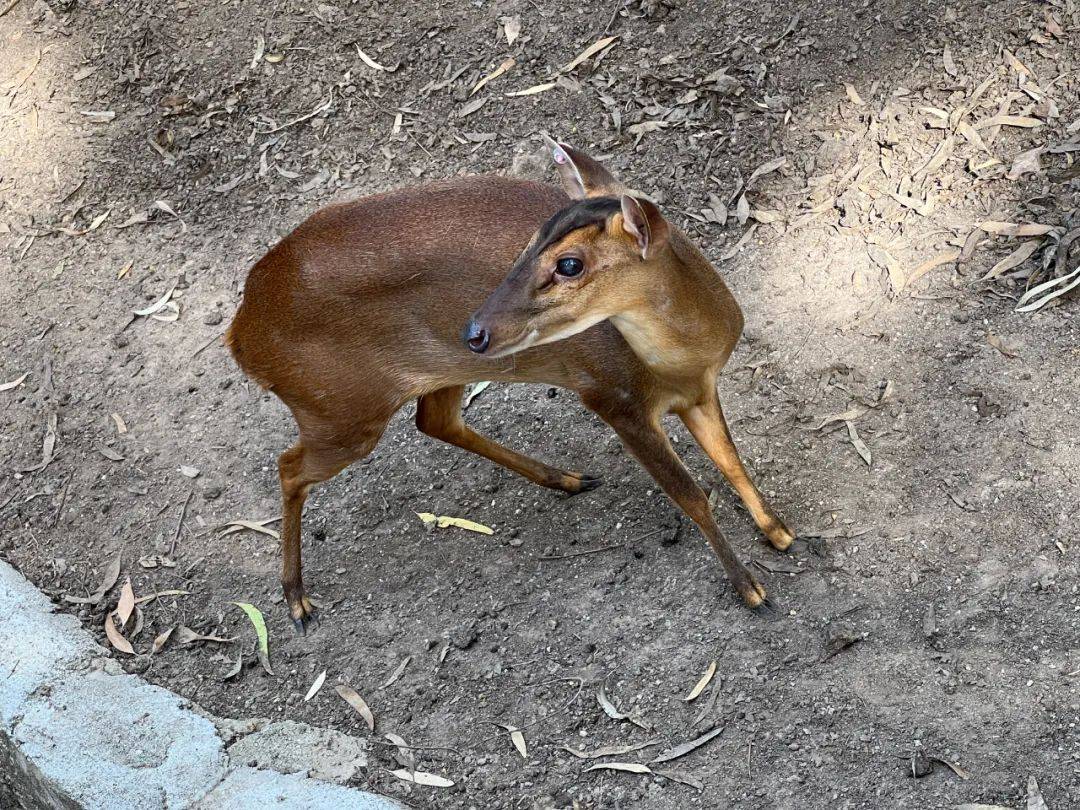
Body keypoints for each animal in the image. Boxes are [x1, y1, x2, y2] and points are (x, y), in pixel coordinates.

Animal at [227, 136, 799, 635]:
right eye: (526, 246)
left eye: (569, 263)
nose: (475, 331)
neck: (680, 359)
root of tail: (242, 330)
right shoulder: (613, 399)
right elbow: (691, 494)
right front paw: (750, 588)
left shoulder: (700, 391)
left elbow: (730, 461)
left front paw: (779, 531)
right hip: (342, 410)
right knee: (289, 466)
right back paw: (296, 599)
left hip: (438, 373)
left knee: (434, 420)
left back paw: (565, 478)